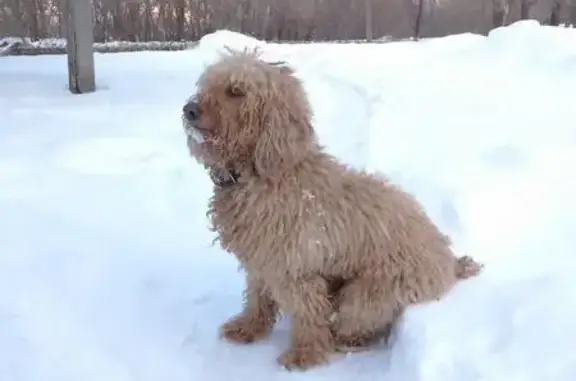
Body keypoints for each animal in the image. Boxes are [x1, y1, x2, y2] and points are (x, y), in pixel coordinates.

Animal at [181, 49, 482, 370]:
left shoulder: (296, 266)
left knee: (361, 321)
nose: (189, 109)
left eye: (236, 91)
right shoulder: (262, 261)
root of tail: (450, 262)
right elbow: (257, 297)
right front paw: (248, 327)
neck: (266, 173)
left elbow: (308, 312)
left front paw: (305, 354)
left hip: (367, 293)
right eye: (207, 83)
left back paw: (345, 340)